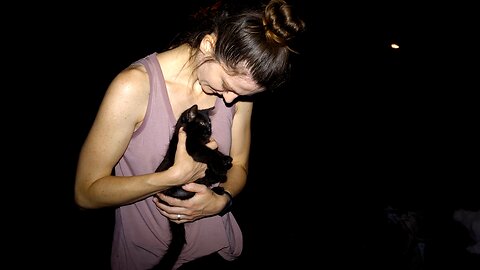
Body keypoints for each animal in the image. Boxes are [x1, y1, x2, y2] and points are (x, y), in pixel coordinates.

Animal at [151, 104, 232, 270]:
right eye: (201, 123)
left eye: (210, 123)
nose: (209, 130)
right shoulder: (192, 147)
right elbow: (209, 152)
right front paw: (220, 166)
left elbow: (215, 150)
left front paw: (225, 159)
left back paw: (218, 187)